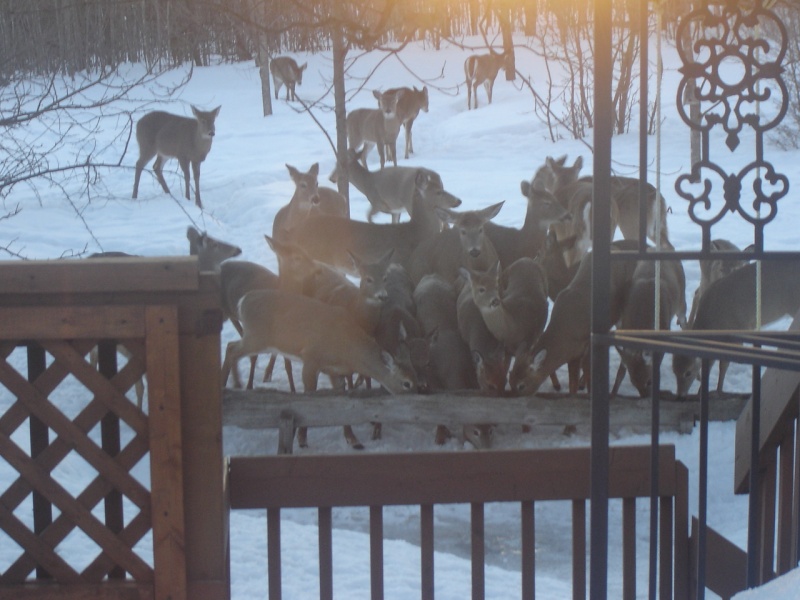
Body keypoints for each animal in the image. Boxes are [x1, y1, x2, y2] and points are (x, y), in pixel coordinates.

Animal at [220, 288, 416, 450]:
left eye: (415, 377)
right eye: (406, 383)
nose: (415, 401)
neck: (348, 349)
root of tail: (243, 301)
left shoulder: (336, 371)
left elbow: (341, 400)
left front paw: (353, 439)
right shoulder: (311, 358)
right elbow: (309, 394)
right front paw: (302, 438)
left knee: (230, 346)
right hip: (256, 337)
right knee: (231, 348)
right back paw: (225, 389)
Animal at [288, 164, 462, 276]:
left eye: (442, 188)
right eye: (439, 192)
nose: (458, 200)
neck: (417, 232)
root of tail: (296, 232)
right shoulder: (401, 262)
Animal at [612, 258, 688, 396]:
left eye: (649, 381)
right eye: (633, 382)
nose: (645, 396)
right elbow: (621, 370)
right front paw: (613, 393)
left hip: (681, 300)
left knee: (684, 320)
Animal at [672, 258, 800, 398]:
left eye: (688, 372)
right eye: (674, 370)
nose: (680, 395)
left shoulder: (737, 331)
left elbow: (723, 364)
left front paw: (717, 391)